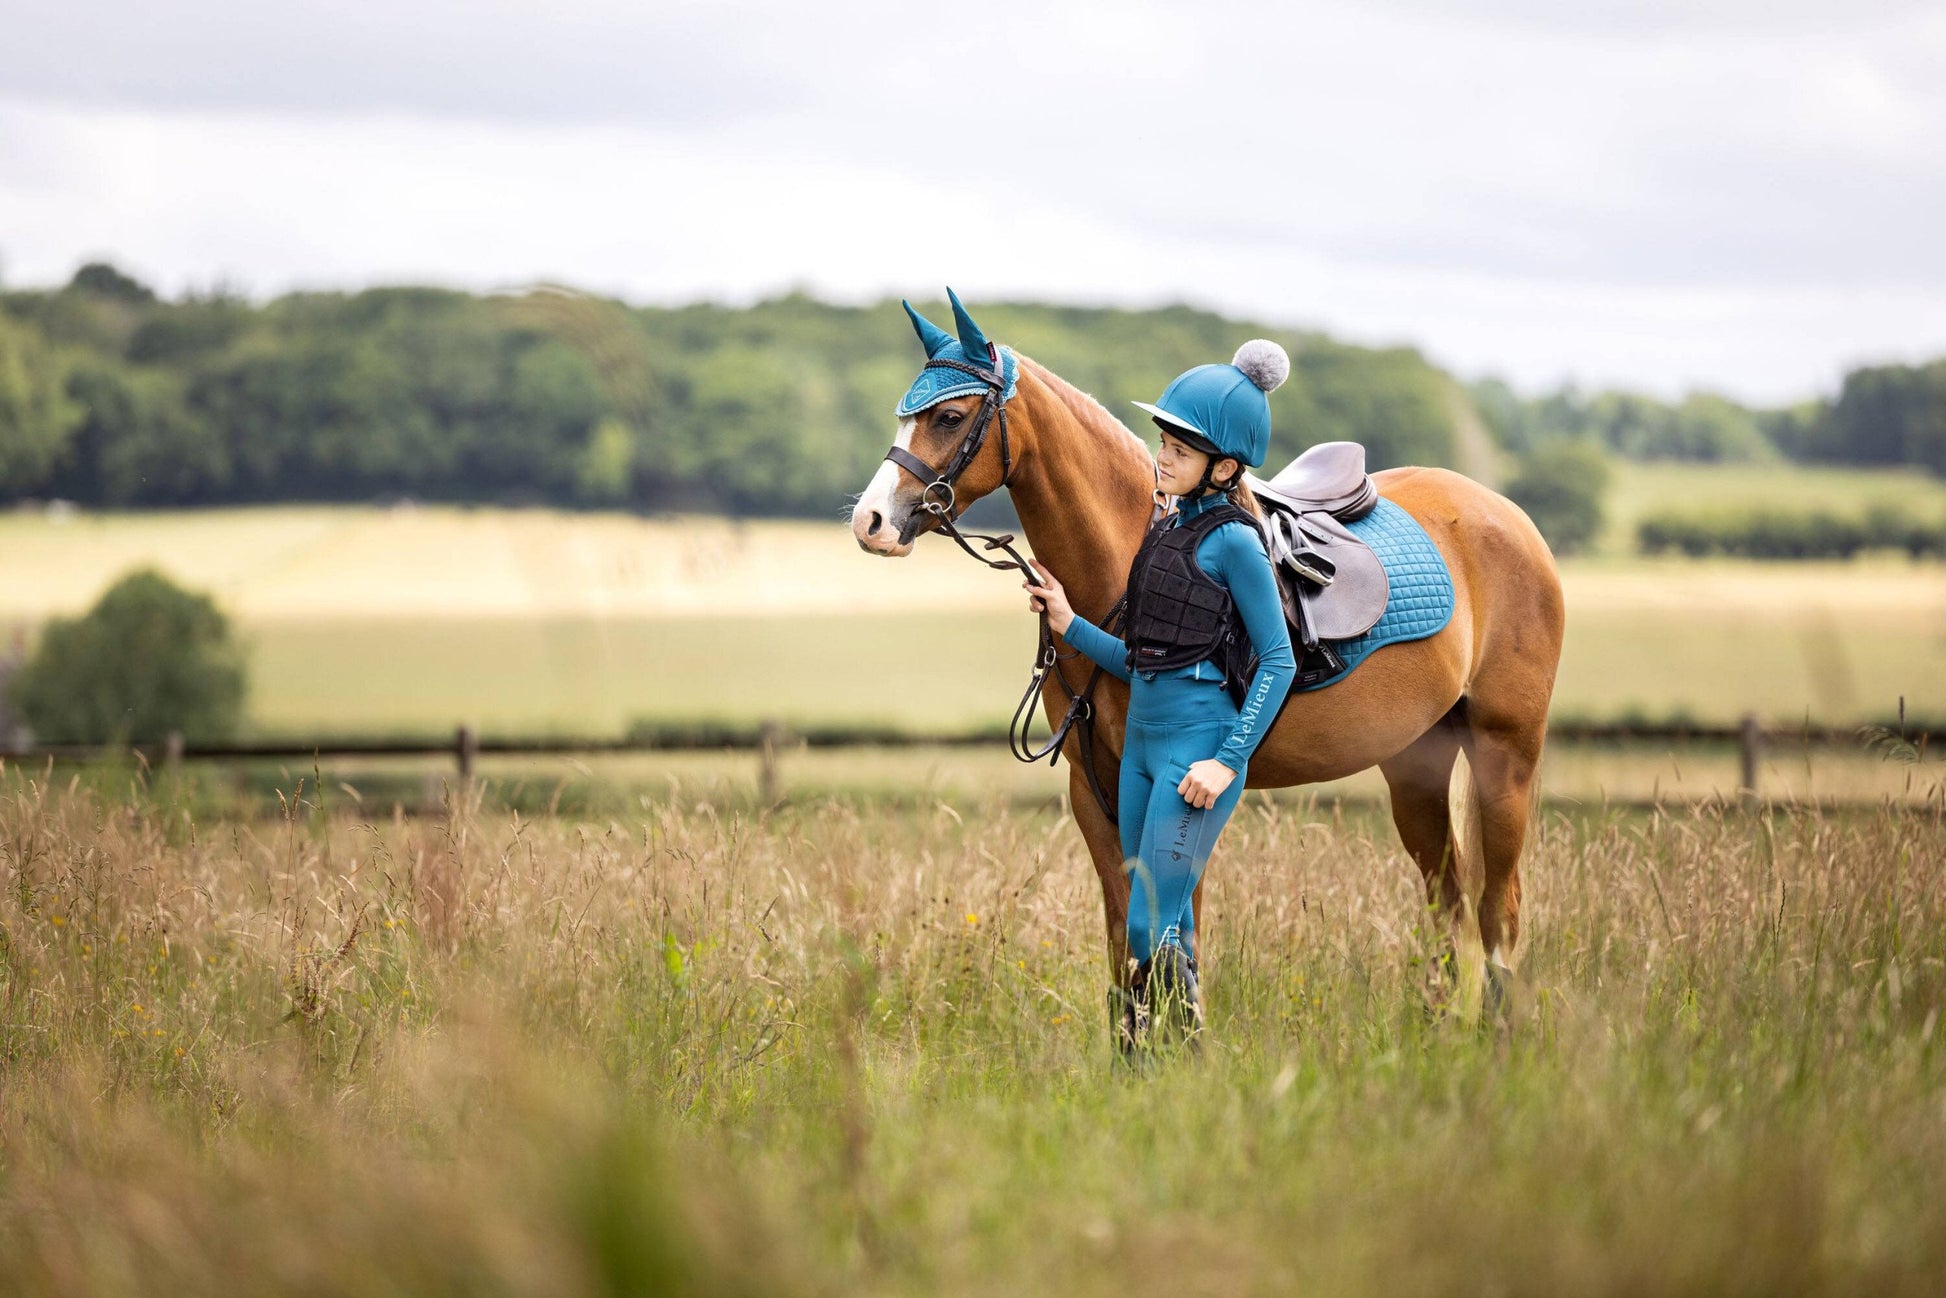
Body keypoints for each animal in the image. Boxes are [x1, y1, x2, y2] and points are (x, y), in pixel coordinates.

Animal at [852, 352, 1564, 1011]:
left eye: (949, 416)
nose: (870, 522)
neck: (1124, 562)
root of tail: (1508, 516)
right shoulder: (1094, 788)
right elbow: (1127, 944)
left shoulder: (1184, 785)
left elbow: (1173, 940)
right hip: (1416, 765)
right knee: (1449, 906)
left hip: (1504, 755)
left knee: (1499, 915)